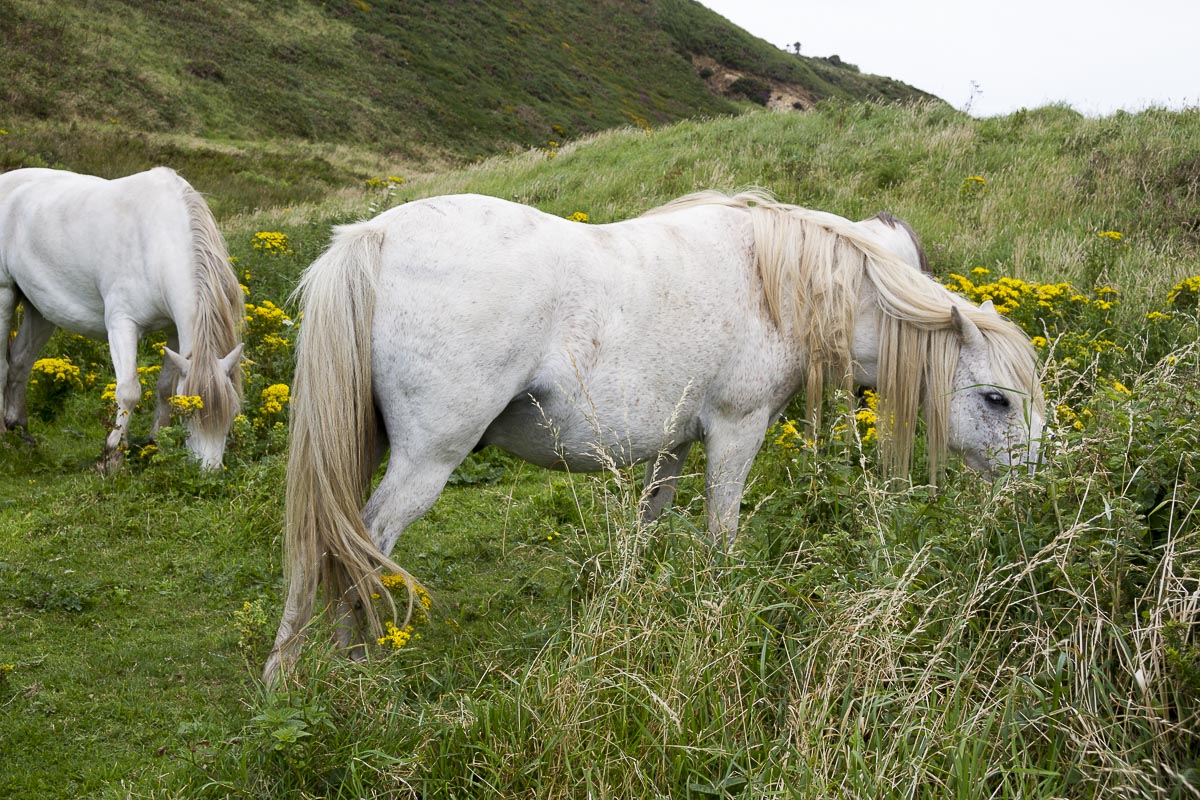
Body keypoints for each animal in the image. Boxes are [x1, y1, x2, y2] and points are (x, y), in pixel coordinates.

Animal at [0, 167, 244, 470]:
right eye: (188, 412)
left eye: (232, 412)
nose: (208, 471)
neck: (157, 242)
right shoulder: (121, 326)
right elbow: (128, 390)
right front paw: (112, 456)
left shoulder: (173, 331)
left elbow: (165, 387)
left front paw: (156, 444)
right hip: (4, 295)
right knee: (3, 366)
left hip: (40, 309)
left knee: (20, 362)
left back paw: (21, 432)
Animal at [263, 190, 1044, 680]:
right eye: (996, 400)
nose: (1034, 494)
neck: (780, 285)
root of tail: (372, 238)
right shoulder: (735, 428)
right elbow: (722, 533)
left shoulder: (674, 441)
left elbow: (648, 524)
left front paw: (627, 606)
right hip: (428, 460)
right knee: (360, 544)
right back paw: (358, 668)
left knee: (319, 541)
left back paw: (289, 673)